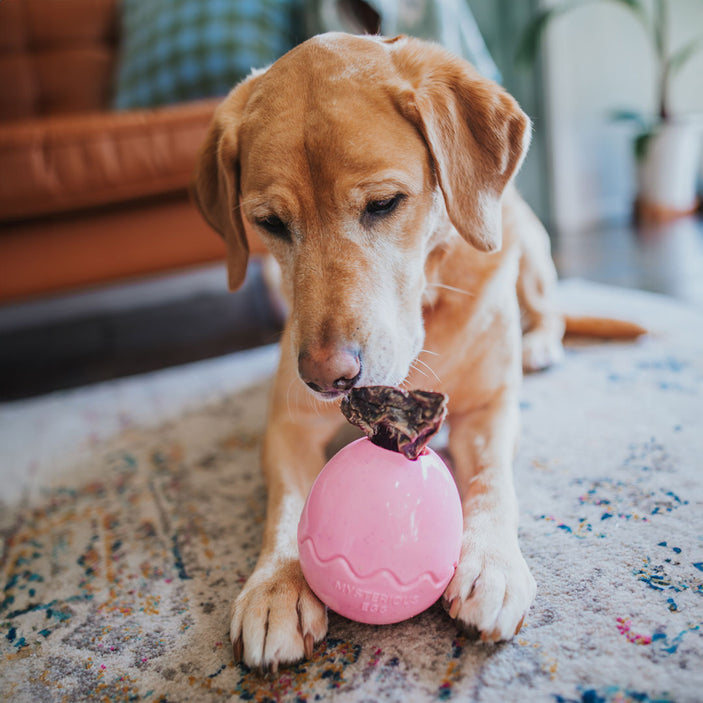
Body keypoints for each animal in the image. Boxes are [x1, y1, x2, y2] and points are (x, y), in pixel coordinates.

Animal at [194, 31, 572, 672]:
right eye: (269, 222)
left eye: (384, 203)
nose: (327, 377)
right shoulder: (288, 425)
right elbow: (288, 504)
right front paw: (276, 585)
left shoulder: (490, 409)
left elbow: (493, 481)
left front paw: (492, 564)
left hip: (528, 243)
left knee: (551, 308)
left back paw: (540, 342)